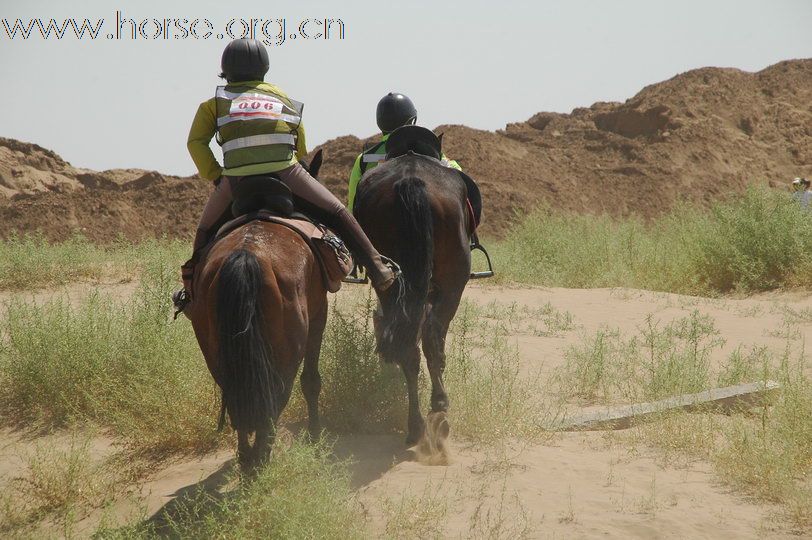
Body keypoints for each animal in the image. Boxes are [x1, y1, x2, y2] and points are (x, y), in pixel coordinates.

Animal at [189, 155, 328, 468]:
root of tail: (246, 254)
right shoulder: (319, 315)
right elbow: (311, 381)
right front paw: (315, 435)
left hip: (214, 349)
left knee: (238, 392)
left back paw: (247, 458)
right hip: (288, 349)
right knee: (275, 396)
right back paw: (261, 456)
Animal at [352, 142, 472, 442]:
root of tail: (411, 180)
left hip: (392, 281)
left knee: (410, 346)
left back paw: (417, 423)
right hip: (452, 283)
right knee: (430, 336)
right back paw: (437, 406)